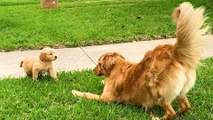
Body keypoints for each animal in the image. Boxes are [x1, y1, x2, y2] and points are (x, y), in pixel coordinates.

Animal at [71, 2, 210, 119]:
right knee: (186, 106)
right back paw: (180, 113)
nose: (93, 71)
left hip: (154, 87)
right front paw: (102, 81)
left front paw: (75, 92)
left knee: (171, 112)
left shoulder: (105, 98)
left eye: (99, 64)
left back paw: (158, 117)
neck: (117, 67)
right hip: (179, 91)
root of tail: (172, 51)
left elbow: (88, 94)